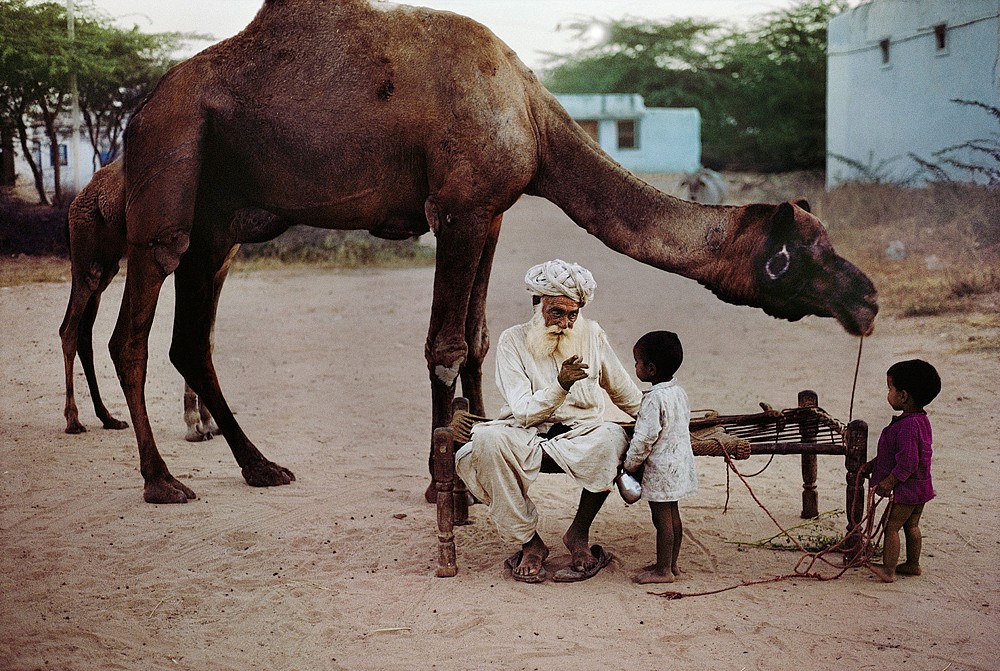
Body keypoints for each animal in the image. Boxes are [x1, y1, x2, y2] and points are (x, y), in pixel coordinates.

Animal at [60, 160, 280, 444]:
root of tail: (78, 197)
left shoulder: (222, 265)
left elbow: (208, 339)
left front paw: (208, 423)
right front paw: (193, 425)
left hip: (108, 265)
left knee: (84, 332)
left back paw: (109, 418)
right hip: (85, 258)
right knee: (69, 329)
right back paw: (73, 420)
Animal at [109, 0, 876, 504]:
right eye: (796, 257)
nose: (867, 299)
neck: (533, 114)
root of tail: (140, 109)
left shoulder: (493, 213)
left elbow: (478, 339)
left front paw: (476, 453)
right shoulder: (457, 207)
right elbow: (445, 345)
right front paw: (439, 482)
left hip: (221, 226)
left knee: (191, 340)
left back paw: (261, 466)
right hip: (170, 172)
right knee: (134, 331)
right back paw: (161, 480)